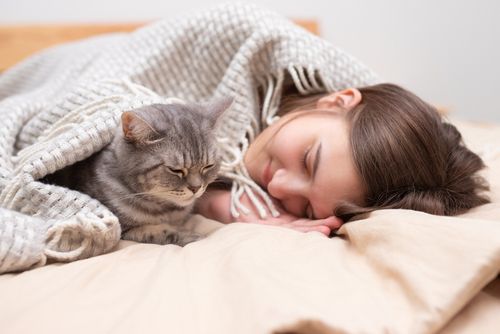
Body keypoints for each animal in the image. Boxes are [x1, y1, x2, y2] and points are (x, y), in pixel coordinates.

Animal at [44, 98, 231, 245]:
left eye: (208, 166)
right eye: (175, 170)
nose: (196, 188)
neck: (167, 210)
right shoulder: (123, 229)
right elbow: (161, 231)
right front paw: (191, 236)